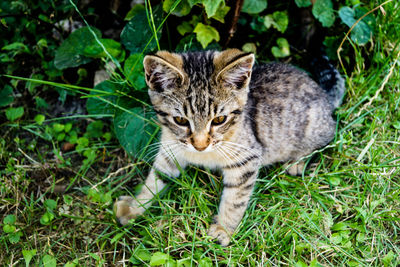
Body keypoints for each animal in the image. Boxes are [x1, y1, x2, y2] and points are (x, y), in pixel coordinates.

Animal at [114, 48, 346, 247]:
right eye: (180, 120)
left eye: (219, 120)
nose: (200, 145)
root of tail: (322, 94)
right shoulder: (171, 149)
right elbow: (156, 178)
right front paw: (135, 206)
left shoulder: (247, 157)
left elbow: (234, 199)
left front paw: (223, 229)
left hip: (311, 128)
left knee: (329, 133)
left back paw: (298, 162)